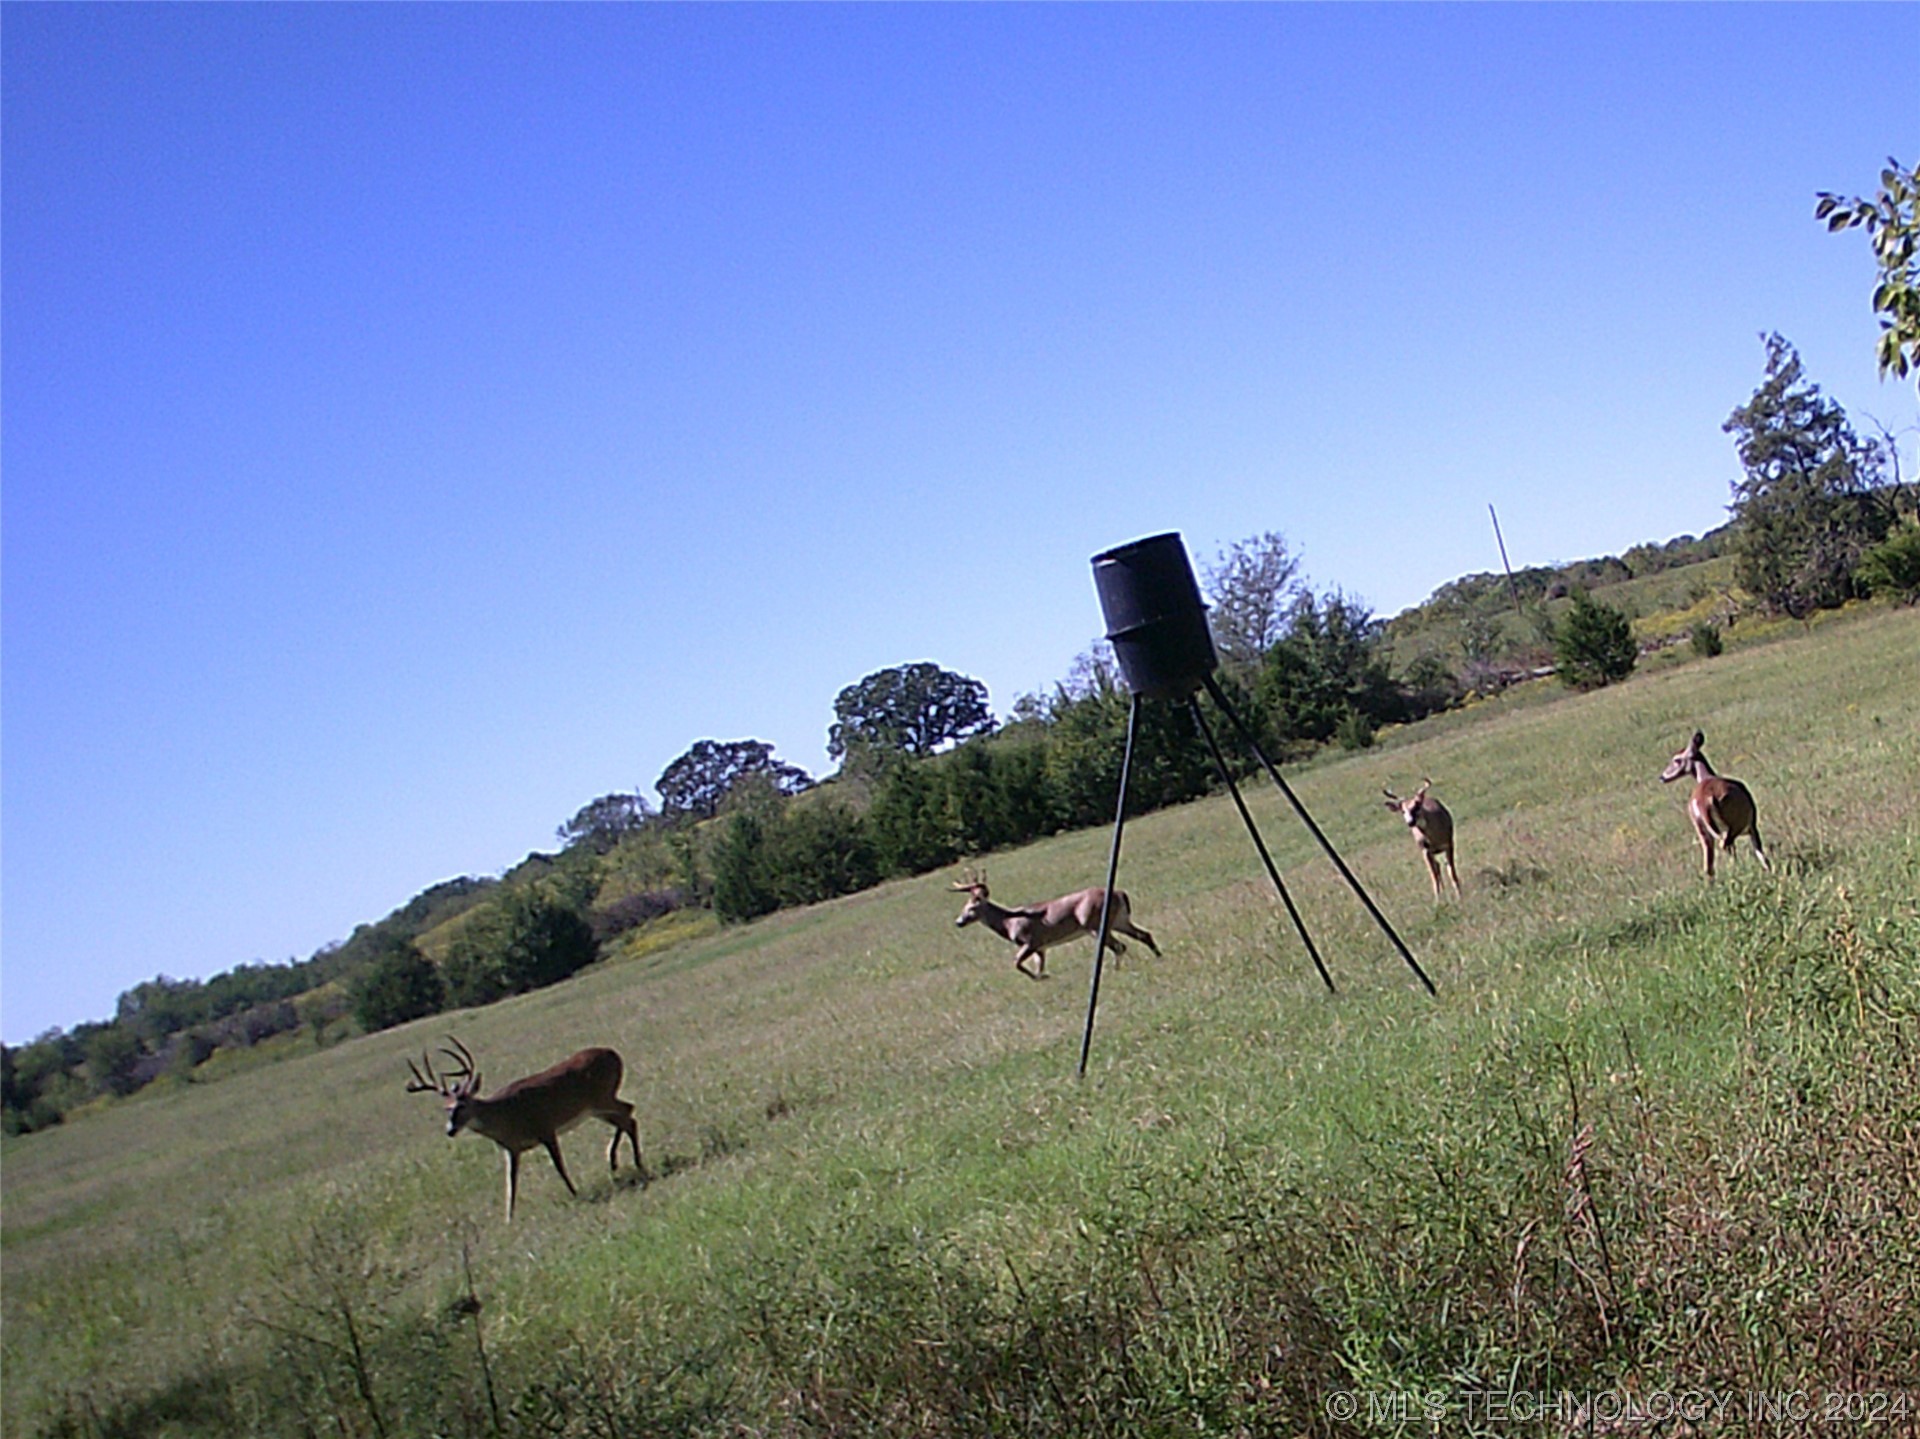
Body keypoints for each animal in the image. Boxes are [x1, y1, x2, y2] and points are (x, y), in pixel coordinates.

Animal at [405, 1037, 645, 1221]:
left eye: (462, 1105)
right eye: (446, 1108)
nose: (450, 1130)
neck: (505, 1116)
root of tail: (614, 1053)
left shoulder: (545, 1128)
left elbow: (559, 1166)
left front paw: (575, 1192)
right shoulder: (512, 1149)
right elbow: (511, 1182)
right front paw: (508, 1219)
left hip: (602, 1097)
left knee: (629, 1114)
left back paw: (631, 1162)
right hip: (596, 1107)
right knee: (627, 1115)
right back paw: (615, 1161)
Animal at [952, 864, 1159, 975]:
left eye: (971, 908)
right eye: (963, 908)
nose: (958, 922)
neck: (1009, 922)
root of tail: (1119, 893)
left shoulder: (1031, 941)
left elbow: (1016, 962)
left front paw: (1042, 978)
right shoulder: (1041, 948)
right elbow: (1039, 966)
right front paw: (1043, 978)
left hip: (1095, 923)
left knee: (1119, 946)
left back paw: (1116, 970)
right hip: (1119, 920)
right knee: (1144, 935)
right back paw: (1158, 957)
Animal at [1658, 730, 1774, 876]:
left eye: (1677, 759)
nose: (1662, 777)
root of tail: (1704, 801)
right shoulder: (1751, 825)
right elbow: (1760, 852)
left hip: (1703, 831)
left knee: (1709, 866)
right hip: (1733, 827)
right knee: (1726, 846)